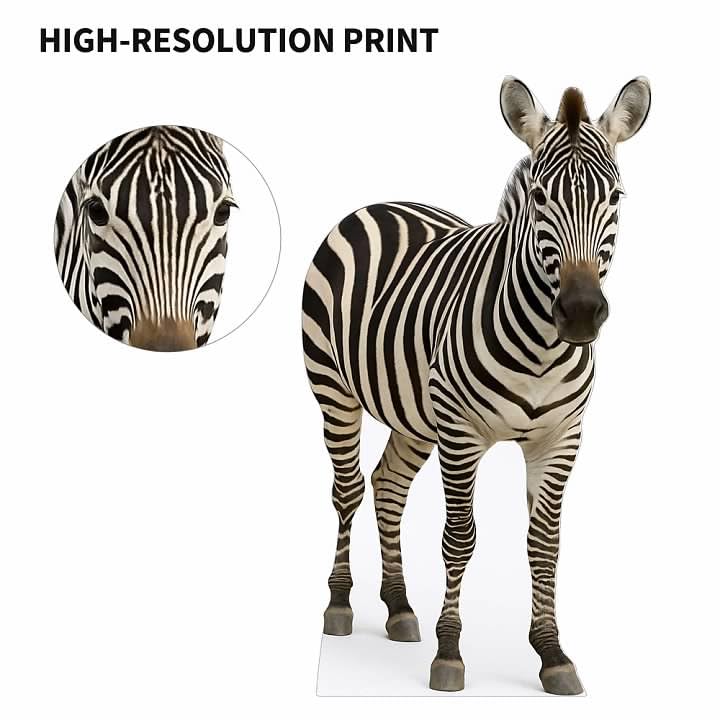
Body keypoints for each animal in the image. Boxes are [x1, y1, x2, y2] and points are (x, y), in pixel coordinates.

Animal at [302, 76, 650, 693]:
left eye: (616, 197)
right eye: (539, 197)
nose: (581, 314)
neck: (541, 349)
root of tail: (375, 204)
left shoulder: (560, 439)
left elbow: (544, 544)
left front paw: (552, 654)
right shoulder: (463, 435)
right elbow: (459, 539)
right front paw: (450, 654)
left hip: (416, 415)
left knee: (388, 486)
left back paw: (399, 608)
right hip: (333, 390)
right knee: (348, 490)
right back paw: (340, 604)